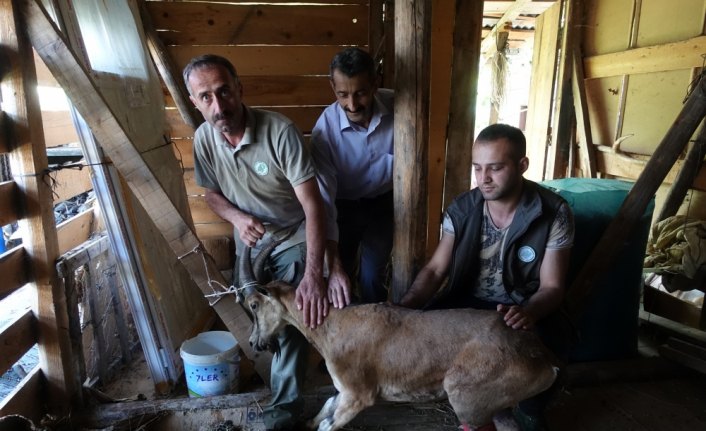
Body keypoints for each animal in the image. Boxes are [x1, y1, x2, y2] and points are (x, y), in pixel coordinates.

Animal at [239, 245, 560, 431]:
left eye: (254, 304)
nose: (255, 343)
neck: (333, 326)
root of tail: (545, 359)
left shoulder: (358, 394)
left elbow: (329, 424)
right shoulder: (342, 391)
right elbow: (325, 407)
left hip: (467, 397)